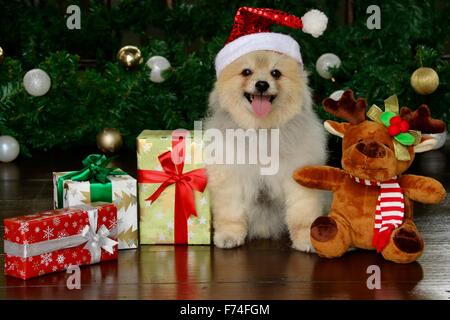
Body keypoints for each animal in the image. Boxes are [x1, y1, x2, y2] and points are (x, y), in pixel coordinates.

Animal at [204, 50, 326, 251]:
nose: (262, 84)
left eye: (275, 73)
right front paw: (229, 236)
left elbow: (302, 214)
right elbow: (231, 213)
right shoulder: (230, 178)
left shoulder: (298, 177)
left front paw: (306, 239)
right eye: (246, 72)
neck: (261, 129)